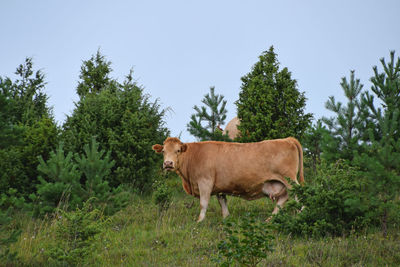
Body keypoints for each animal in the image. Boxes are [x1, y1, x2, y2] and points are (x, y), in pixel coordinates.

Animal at [152, 137, 304, 223]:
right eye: (163, 151)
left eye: (178, 150)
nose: (168, 163)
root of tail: (287, 139)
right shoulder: (219, 187)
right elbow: (222, 202)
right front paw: (226, 218)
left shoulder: (205, 181)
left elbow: (203, 203)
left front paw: (199, 221)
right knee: (283, 199)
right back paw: (270, 219)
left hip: (289, 179)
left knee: (299, 194)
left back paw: (301, 214)